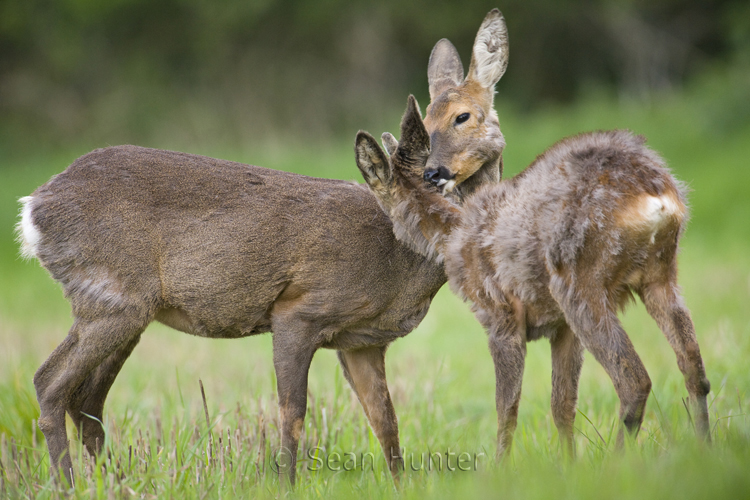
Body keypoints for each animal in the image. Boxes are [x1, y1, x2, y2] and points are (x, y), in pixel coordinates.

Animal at [16, 7, 512, 486]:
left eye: (463, 117)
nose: (441, 178)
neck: (396, 266)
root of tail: (34, 206)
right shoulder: (297, 310)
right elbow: (293, 413)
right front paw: (286, 483)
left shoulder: (363, 342)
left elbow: (386, 423)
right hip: (113, 296)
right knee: (49, 383)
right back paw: (67, 484)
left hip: (125, 308)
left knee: (87, 399)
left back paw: (116, 482)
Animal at [356, 95, 712, 458]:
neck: (451, 235)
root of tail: (654, 194)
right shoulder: (562, 327)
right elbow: (562, 406)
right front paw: (569, 464)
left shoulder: (499, 314)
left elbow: (507, 409)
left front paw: (500, 465)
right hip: (661, 274)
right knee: (694, 370)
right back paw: (704, 451)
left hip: (579, 282)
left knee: (635, 381)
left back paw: (618, 462)